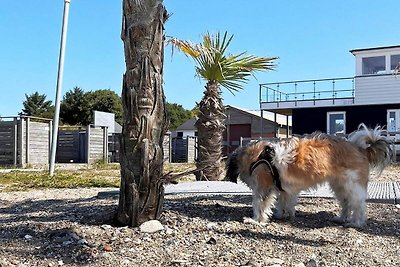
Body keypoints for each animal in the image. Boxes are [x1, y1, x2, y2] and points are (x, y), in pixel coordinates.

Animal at [227, 124, 392, 227]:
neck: (258, 157)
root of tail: (361, 149)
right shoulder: (284, 189)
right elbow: (284, 202)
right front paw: (282, 214)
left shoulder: (263, 186)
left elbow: (259, 204)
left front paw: (255, 220)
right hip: (340, 186)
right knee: (346, 203)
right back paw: (341, 218)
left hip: (352, 186)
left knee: (358, 205)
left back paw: (355, 223)